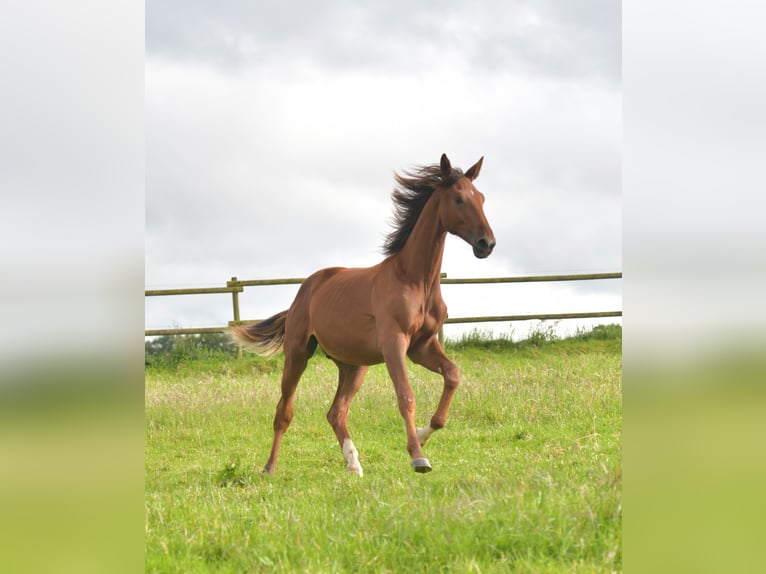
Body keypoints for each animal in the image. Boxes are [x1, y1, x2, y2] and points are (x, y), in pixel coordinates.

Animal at [230, 154, 498, 476]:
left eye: (481, 197)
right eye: (458, 199)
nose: (486, 244)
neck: (414, 279)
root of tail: (305, 290)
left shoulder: (422, 346)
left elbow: (453, 375)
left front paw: (423, 435)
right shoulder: (395, 343)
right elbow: (406, 396)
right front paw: (418, 457)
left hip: (354, 366)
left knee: (336, 412)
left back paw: (353, 464)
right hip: (297, 353)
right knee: (284, 411)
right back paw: (270, 467)